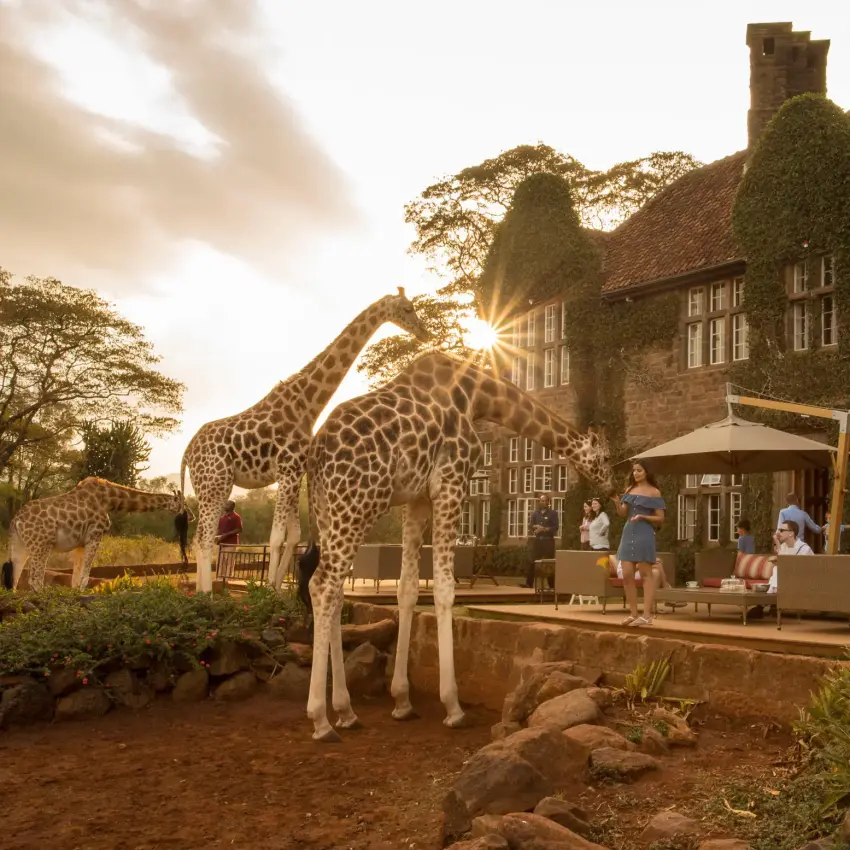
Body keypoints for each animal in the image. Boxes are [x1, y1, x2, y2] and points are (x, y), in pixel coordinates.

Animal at [2, 478, 187, 592]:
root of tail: (16, 521)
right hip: (41, 544)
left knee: (14, 579)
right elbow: (85, 575)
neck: (111, 500)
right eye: (183, 504)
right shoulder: (95, 534)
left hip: (20, 545)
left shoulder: (80, 543)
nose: (190, 515)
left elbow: (76, 577)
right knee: (35, 579)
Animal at [179, 288, 430, 593]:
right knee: (203, 537)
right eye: (407, 308)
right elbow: (276, 537)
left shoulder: (295, 472)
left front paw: (277, 589)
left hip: (211, 485)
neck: (307, 405)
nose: (424, 333)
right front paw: (267, 590)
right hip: (215, 482)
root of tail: (187, 452)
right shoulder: (287, 470)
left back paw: (202, 592)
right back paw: (206, 594)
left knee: (199, 537)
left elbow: (294, 535)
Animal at [302, 351, 617, 741]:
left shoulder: (417, 499)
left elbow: (408, 590)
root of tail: (316, 453)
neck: (478, 397)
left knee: (333, 590)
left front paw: (402, 701)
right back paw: (320, 720)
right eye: (606, 458)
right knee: (323, 585)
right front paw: (453, 707)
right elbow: (444, 589)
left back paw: (346, 711)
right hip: (358, 504)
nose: (613, 488)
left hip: (327, 510)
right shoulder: (451, 483)